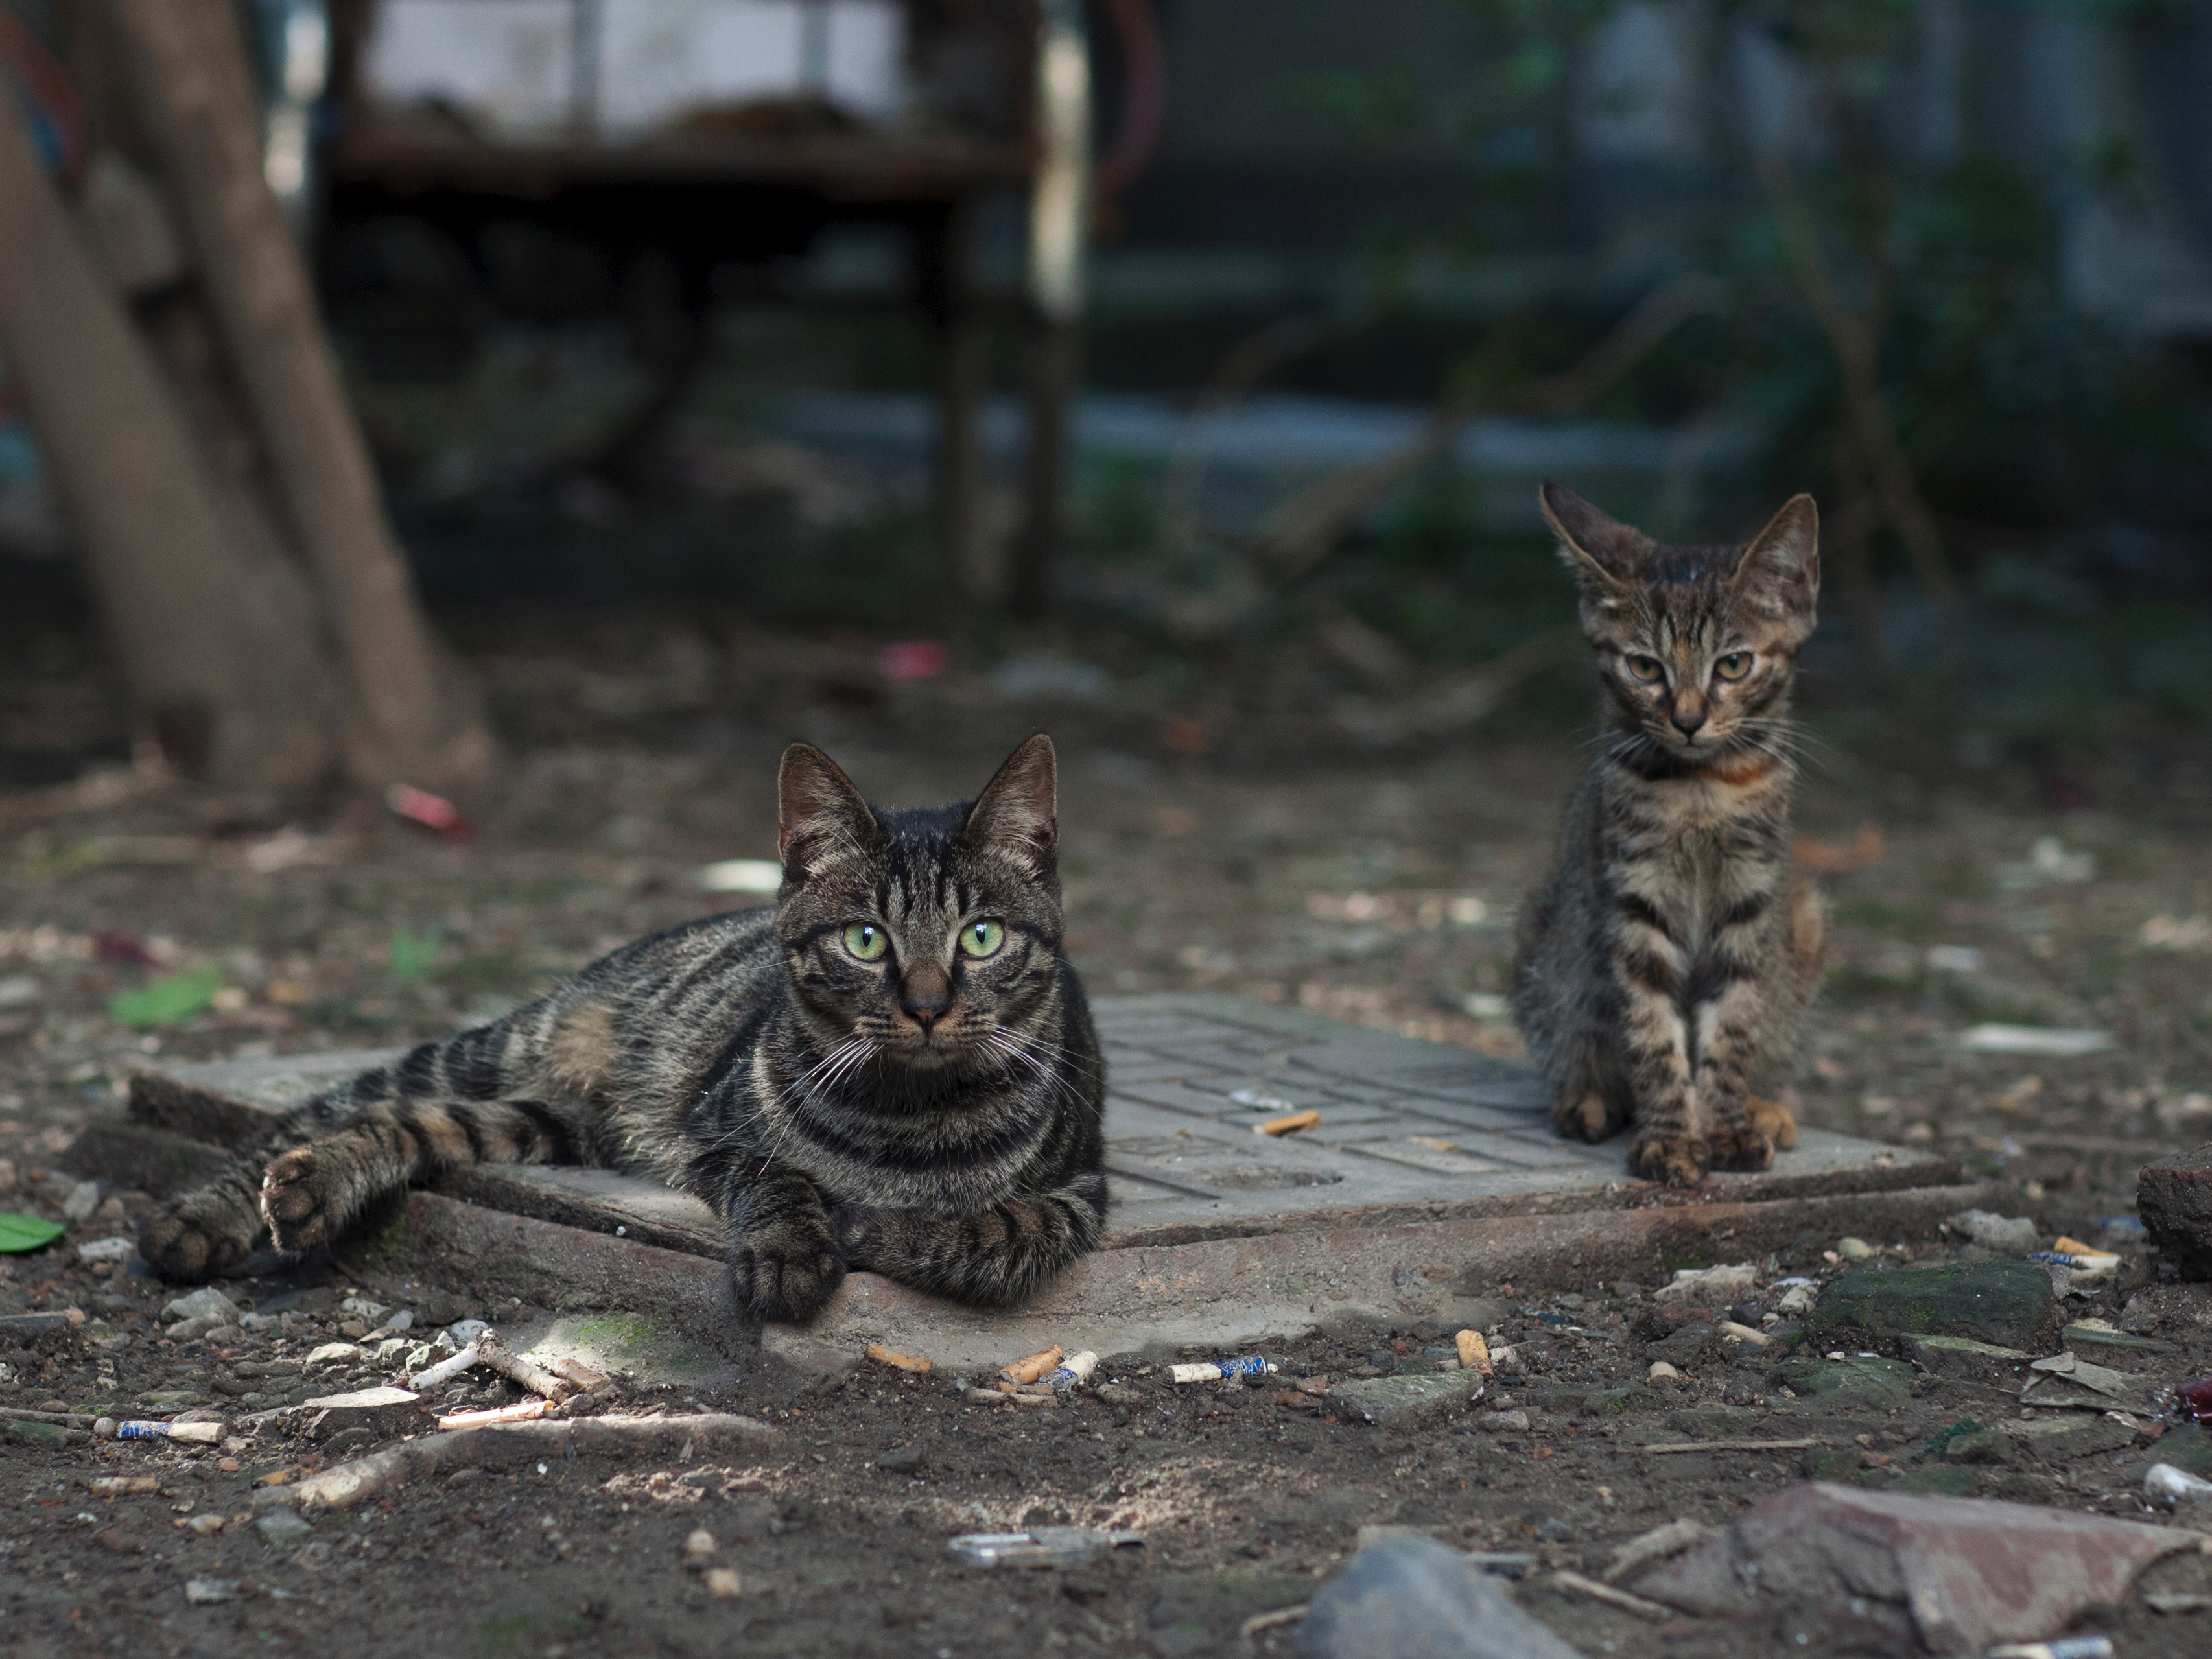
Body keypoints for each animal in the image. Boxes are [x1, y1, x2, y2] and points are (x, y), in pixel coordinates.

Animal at [138, 738, 1106, 1327]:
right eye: (866, 940)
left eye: (980, 937)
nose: (928, 1004)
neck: (911, 1119)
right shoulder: (714, 1138)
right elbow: (785, 1179)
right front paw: (795, 1249)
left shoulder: (1080, 1193)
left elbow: (998, 1233)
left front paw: (879, 1227)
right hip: (512, 1051)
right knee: (336, 1108)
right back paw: (208, 1213)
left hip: (550, 1123)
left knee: (406, 1125)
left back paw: (309, 1187)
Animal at [1512, 486, 1822, 1185]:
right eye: (1644, 667)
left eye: (1733, 664)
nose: (1686, 720)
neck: (1701, 788)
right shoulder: (1634, 893)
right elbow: (1652, 1030)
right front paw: (1672, 1139)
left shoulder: (1751, 892)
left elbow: (1733, 1023)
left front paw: (1727, 1125)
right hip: (1543, 935)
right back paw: (1587, 1098)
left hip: (1805, 911)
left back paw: (1766, 1106)